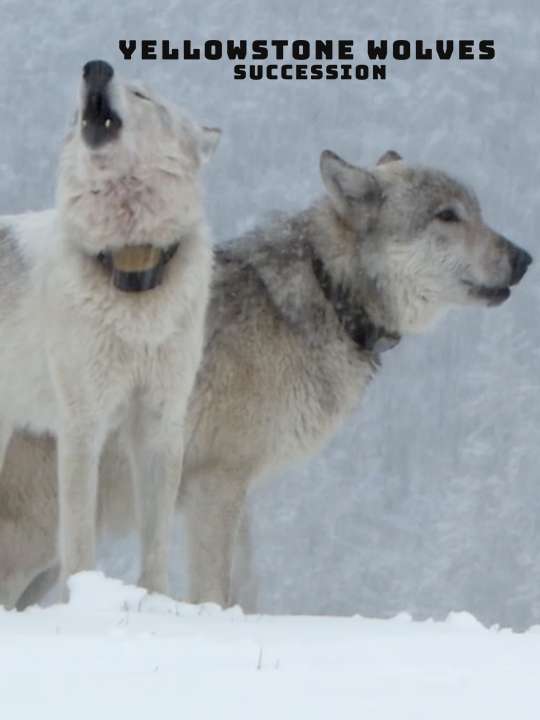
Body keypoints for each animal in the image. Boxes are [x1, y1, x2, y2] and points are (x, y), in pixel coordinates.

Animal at [0, 60, 220, 597]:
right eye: (76, 104)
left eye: (142, 94)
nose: (96, 68)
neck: (129, 261)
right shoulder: (82, 423)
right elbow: (78, 537)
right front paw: (81, 598)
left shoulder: (161, 422)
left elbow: (156, 540)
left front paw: (156, 603)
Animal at [0, 148, 531, 609]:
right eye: (447, 216)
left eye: (477, 212)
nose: (524, 258)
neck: (327, 292)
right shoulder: (216, 484)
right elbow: (212, 591)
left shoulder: (239, 493)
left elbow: (246, 592)